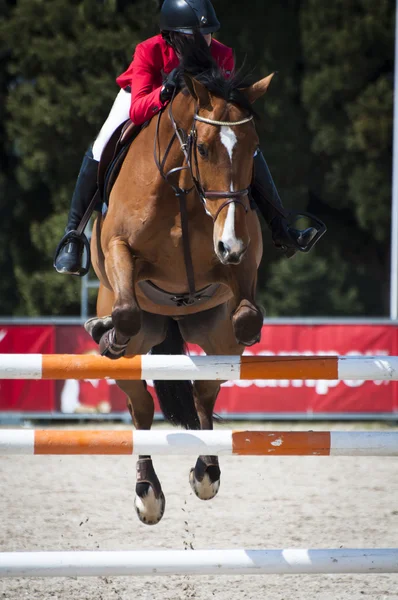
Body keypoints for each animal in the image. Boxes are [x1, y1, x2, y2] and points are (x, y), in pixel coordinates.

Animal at [87, 44, 274, 524]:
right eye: (203, 148)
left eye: (254, 148)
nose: (230, 245)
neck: (185, 192)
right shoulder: (118, 248)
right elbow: (127, 312)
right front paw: (107, 332)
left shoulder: (240, 263)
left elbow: (247, 315)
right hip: (137, 347)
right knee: (140, 407)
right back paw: (147, 492)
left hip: (212, 331)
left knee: (205, 392)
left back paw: (206, 472)